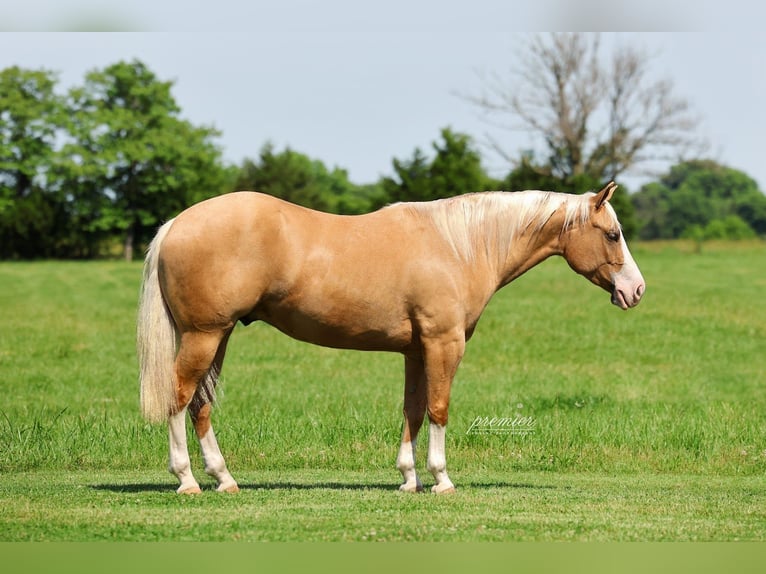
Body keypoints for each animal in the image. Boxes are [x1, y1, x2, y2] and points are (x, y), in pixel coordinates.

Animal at [137, 181, 645, 494]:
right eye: (613, 234)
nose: (636, 290)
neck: (459, 245)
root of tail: (177, 224)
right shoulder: (443, 343)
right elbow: (438, 409)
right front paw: (441, 480)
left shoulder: (416, 350)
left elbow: (413, 409)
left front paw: (408, 478)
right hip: (203, 336)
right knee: (178, 399)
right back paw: (186, 479)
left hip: (217, 338)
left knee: (200, 404)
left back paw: (223, 478)